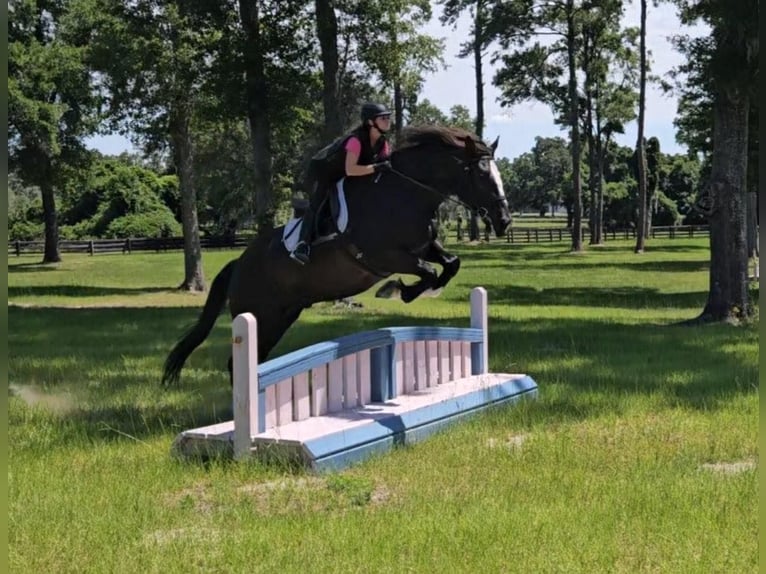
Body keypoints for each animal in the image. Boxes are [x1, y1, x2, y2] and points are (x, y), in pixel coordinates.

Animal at [161, 126, 510, 388]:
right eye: (482, 175)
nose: (504, 220)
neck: (406, 194)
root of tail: (239, 264)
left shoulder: (424, 246)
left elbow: (450, 264)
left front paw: (415, 290)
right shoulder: (385, 256)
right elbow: (426, 271)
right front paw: (399, 290)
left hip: (281, 317)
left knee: (250, 362)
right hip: (259, 314)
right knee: (239, 363)